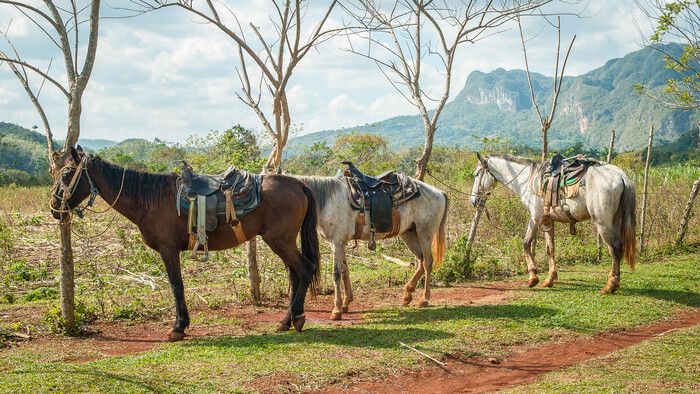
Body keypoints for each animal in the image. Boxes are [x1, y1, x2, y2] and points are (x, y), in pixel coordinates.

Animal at [52, 146, 320, 340]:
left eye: (66, 174)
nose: (54, 205)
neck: (149, 199)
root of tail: (299, 183)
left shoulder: (168, 249)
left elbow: (176, 286)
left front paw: (178, 327)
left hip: (280, 241)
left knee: (305, 269)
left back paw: (297, 318)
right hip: (282, 242)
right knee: (295, 275)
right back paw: (287, 320)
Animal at [294, 175, 448, 320]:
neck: (328, 200)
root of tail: (439, 192)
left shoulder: (336, 242)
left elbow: (336, 273)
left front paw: (337, 310)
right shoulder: (341, 243)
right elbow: (345, 271)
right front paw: (346, 304)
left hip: (425, 232)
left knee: (428, 262)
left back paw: (424, 299)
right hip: (409, 233)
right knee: (421, 261)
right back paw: (407, 295)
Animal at [468, 153, 636, 292]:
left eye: (476, 174)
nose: (473, 200)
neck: (528, 180)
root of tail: (621, 176)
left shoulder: (535, 217)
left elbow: (526, 244)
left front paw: (533, 277)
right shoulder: (548, 220)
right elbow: (550, 249)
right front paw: (550, 279)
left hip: (603, 221)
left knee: (615, 248)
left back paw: (610, 285)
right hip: (615, 220)